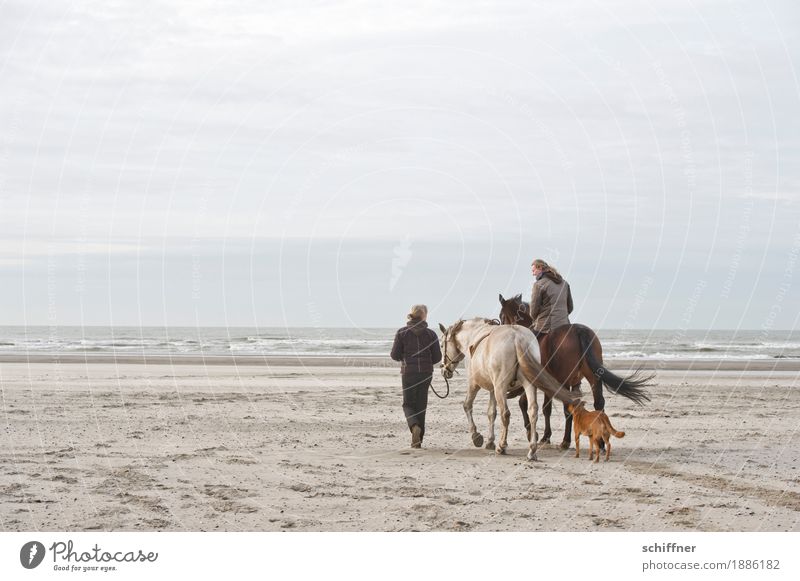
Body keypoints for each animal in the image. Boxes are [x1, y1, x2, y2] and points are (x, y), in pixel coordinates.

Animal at [438, 318, 576, 458]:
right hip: (528, 384)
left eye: (442, 345)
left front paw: (476, 436)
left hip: (501, 387)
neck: (474, 335)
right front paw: (490, 441)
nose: (444, 370)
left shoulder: (474, 384)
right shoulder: (493, 390)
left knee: (505, 413)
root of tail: (516, 337)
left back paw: (502, 446)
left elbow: (467, 405)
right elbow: (491, 413)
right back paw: (532, 450)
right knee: (533, 411)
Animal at [496, 294, 652, 448]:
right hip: (593, 377)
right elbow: (546, 408)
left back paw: (566, 441)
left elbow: (524, 404)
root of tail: (579, 330)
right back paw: (600, 443)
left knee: (568, 407)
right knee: (598, 403)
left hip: (564, 380)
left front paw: (534, 434)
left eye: (501, 315)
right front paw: (545, 436)